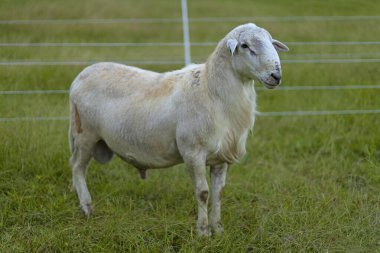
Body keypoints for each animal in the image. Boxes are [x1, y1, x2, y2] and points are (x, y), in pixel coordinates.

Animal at [68, 22, 288, 236]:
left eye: (271, 43)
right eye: (245, 46)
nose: (276, 76)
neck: (211, 91)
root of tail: (81, 76)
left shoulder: (220, 158)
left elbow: (218, 193)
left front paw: (218, 229)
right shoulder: (193, 152)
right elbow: (203, 193)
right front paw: (203, 232)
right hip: (85, 134)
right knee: (77, 167)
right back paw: (87, 207)